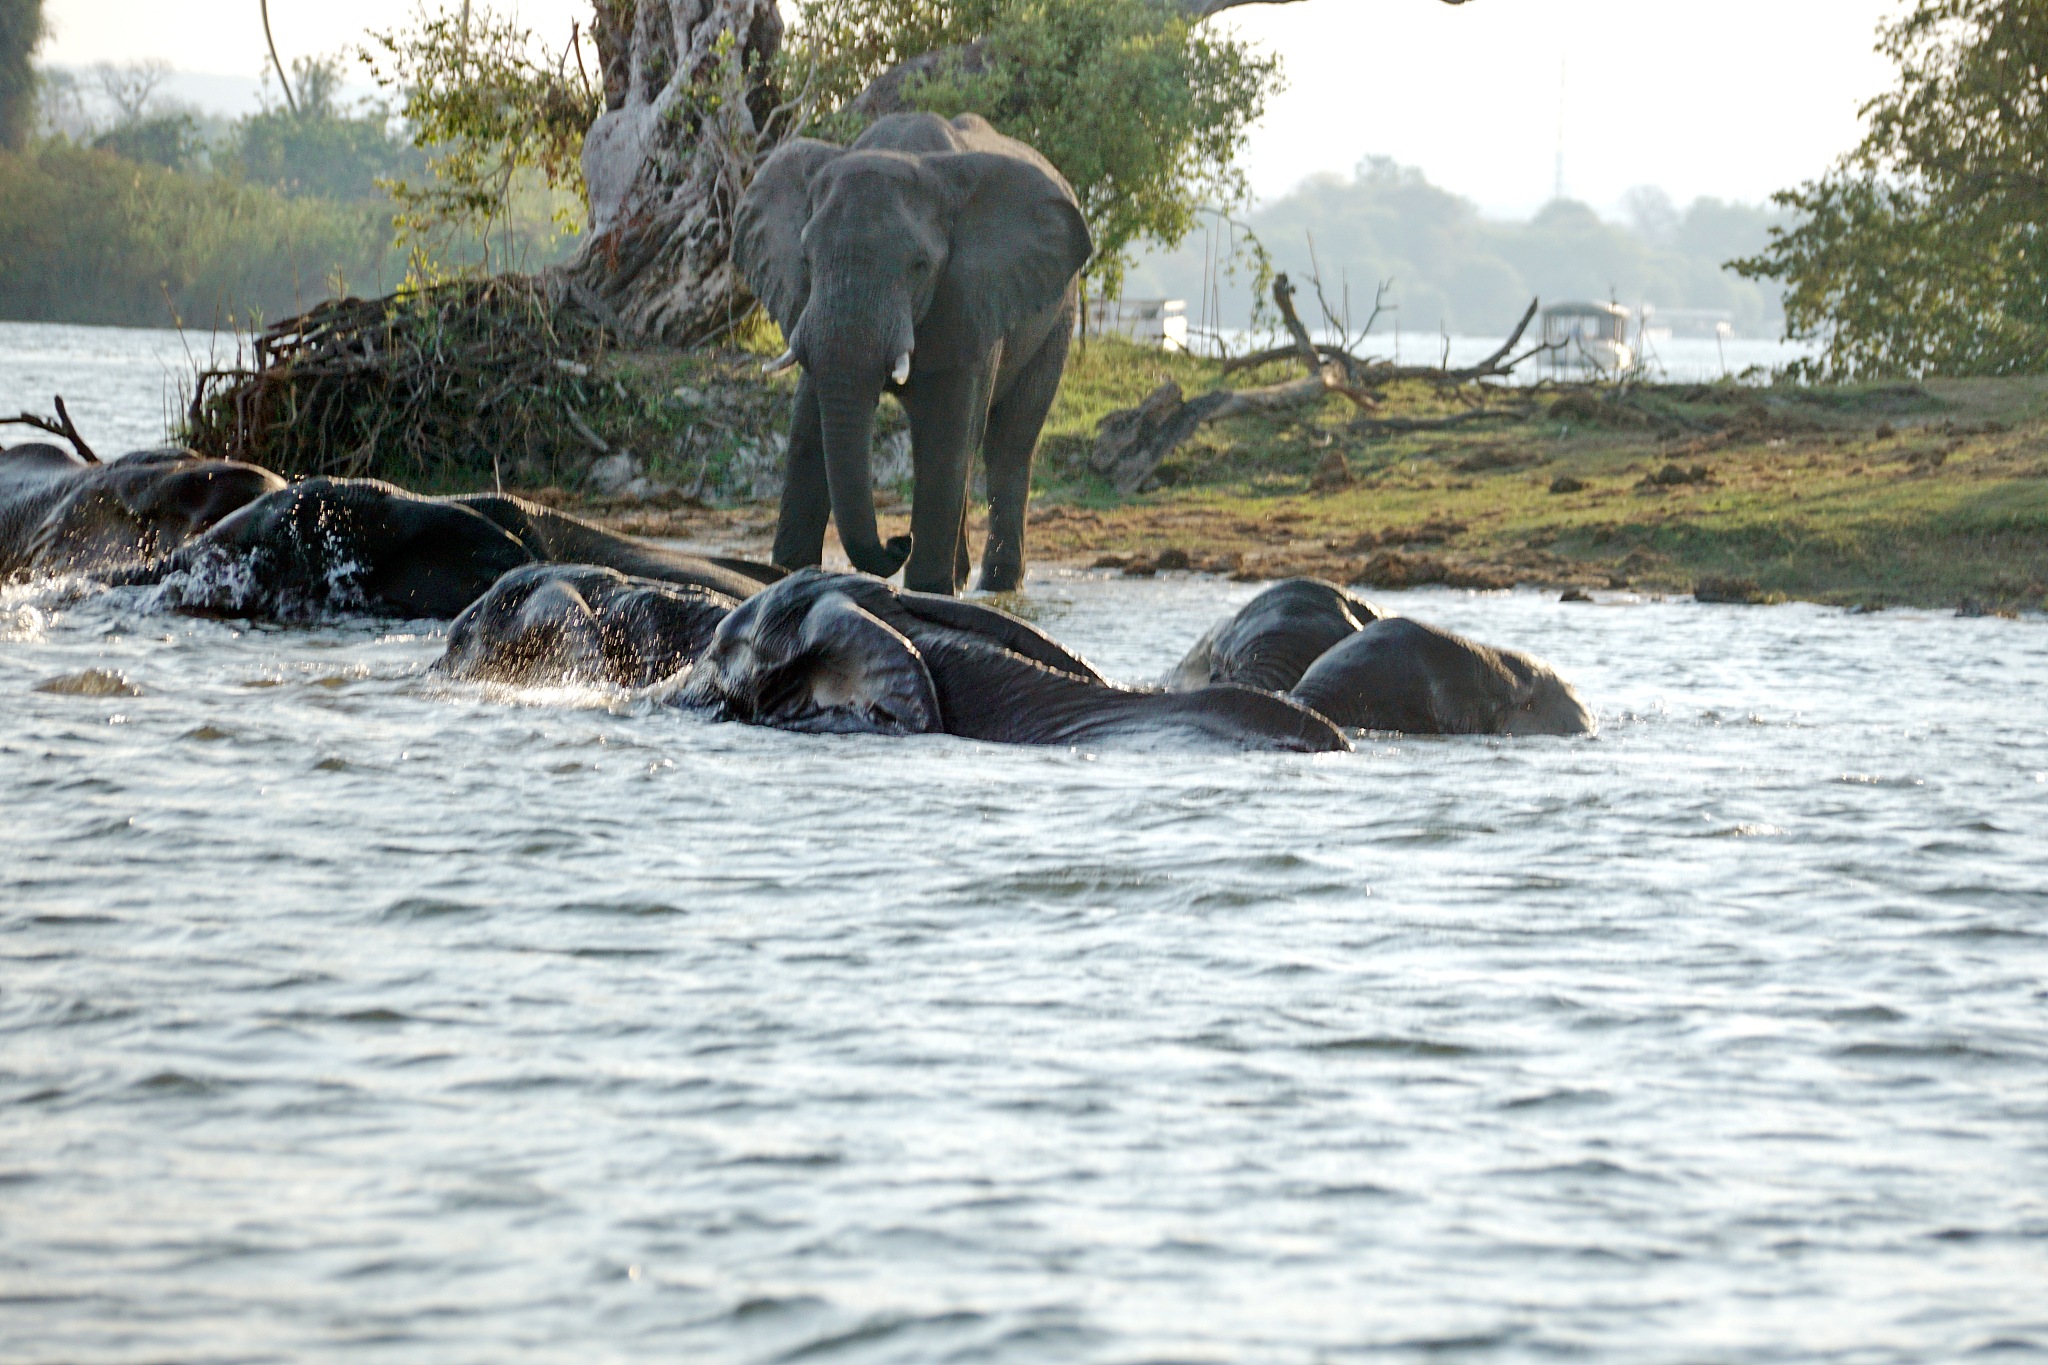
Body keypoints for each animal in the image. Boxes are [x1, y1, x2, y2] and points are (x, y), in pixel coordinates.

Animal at [734, 112, 1093, 595]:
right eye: (806, 261)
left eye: (919, 266)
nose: (897, 541)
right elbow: (808, 428)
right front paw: (789, 572)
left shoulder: (968, 294)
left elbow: (945, 432)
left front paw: (926, 587)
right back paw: (963, 579)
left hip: (1058, 315)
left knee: (1007, 443)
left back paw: (995, 587)